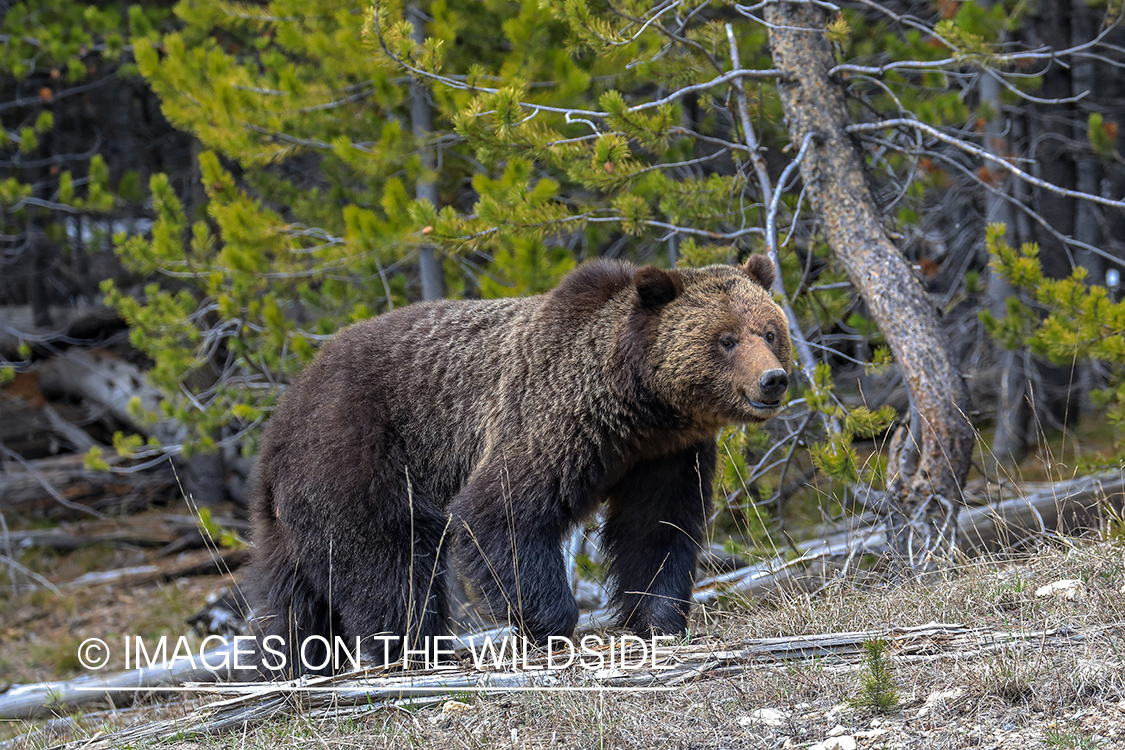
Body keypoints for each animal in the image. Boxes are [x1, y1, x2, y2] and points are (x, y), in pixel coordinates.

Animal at [246, 255, 792, 679]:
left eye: (769, 331)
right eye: (726, 339)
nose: (773, 379)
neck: (638, 406)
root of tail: (281, 415)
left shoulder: (663, 456)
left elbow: (656, 529)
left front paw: (660, 619)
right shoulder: (554, 420)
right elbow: (501, 513)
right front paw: (552, 629)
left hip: (289, 513)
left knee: (290, 594)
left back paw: (288, 665)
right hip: (360, 453)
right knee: (389, 558)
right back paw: (416, 652)